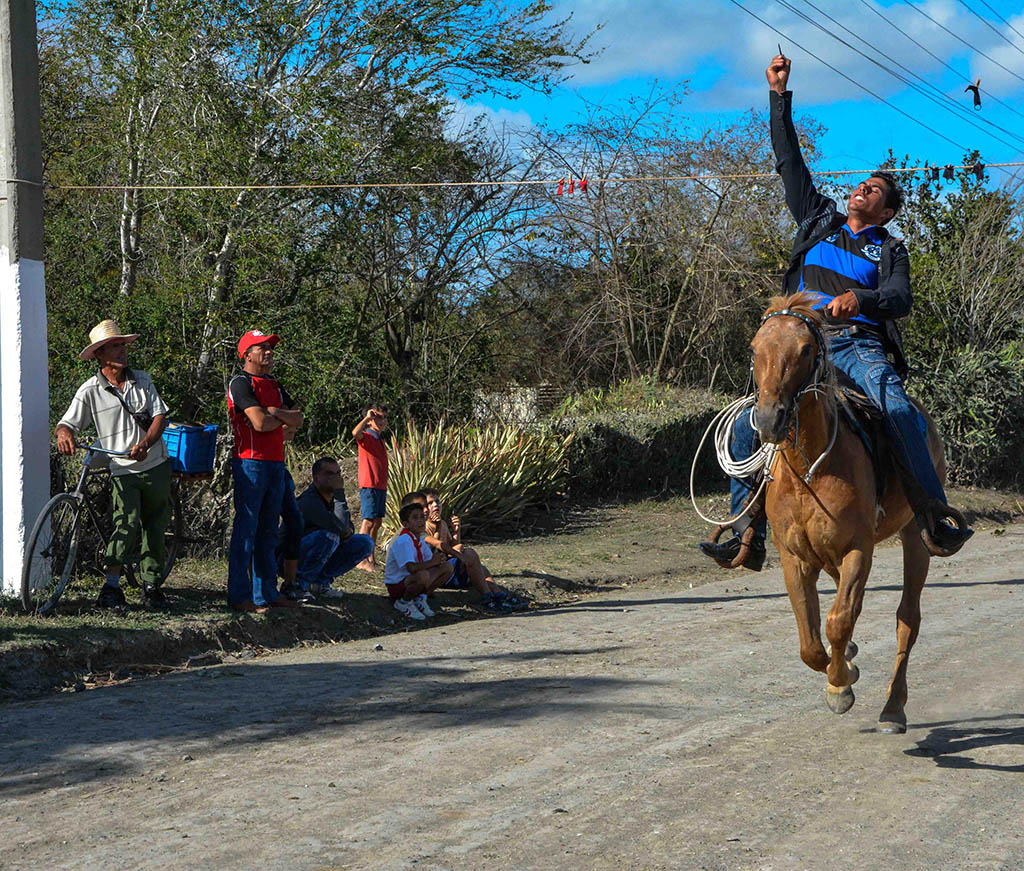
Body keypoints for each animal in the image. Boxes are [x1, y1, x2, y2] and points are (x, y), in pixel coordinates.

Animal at [753, 288, 942, 732]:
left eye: (805, 349)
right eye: (755, 349)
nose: (769, 420)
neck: (809, 470)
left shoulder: (859, 548)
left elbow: (837, 622)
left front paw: (840, 686)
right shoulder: (794, 557)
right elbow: (810, 640)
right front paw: (841, 672)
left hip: (915, 537)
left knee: (907, 619)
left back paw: (893, 708)